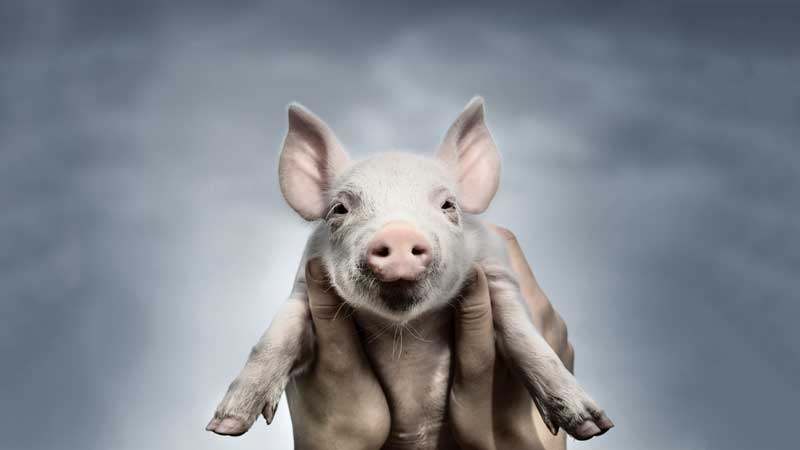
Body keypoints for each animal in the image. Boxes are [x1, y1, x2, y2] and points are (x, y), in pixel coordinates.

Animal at [206, 98, 613, 448]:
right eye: (340, 208)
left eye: (448, 204)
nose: (399, 233)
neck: (405, 333)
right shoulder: (304, 285)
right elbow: (276, 338)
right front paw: (225, 425)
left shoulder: (497, 272)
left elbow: (524, 335)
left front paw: (594, 425)